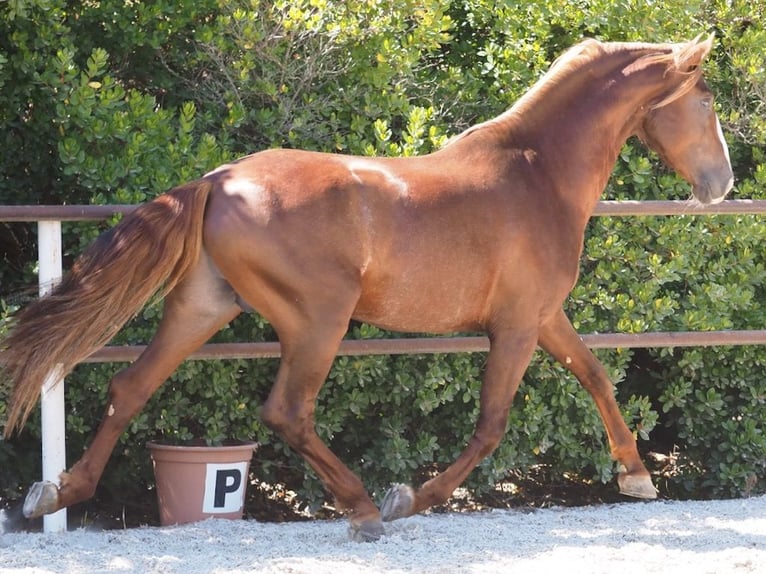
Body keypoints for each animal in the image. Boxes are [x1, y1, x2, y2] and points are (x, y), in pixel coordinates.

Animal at [1, 36, 736, 540]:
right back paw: (361, 508)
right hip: (318, 320)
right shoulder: (519, 325)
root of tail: (220, 179)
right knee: (287, 412)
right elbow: (491, 426)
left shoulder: (544, 317)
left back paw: (53, 495)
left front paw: (636, 475)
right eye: (706, 102)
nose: (722, 184)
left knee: (130, 387)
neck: (537, 172)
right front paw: (406, 499)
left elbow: (595, 375)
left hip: (203, 305)